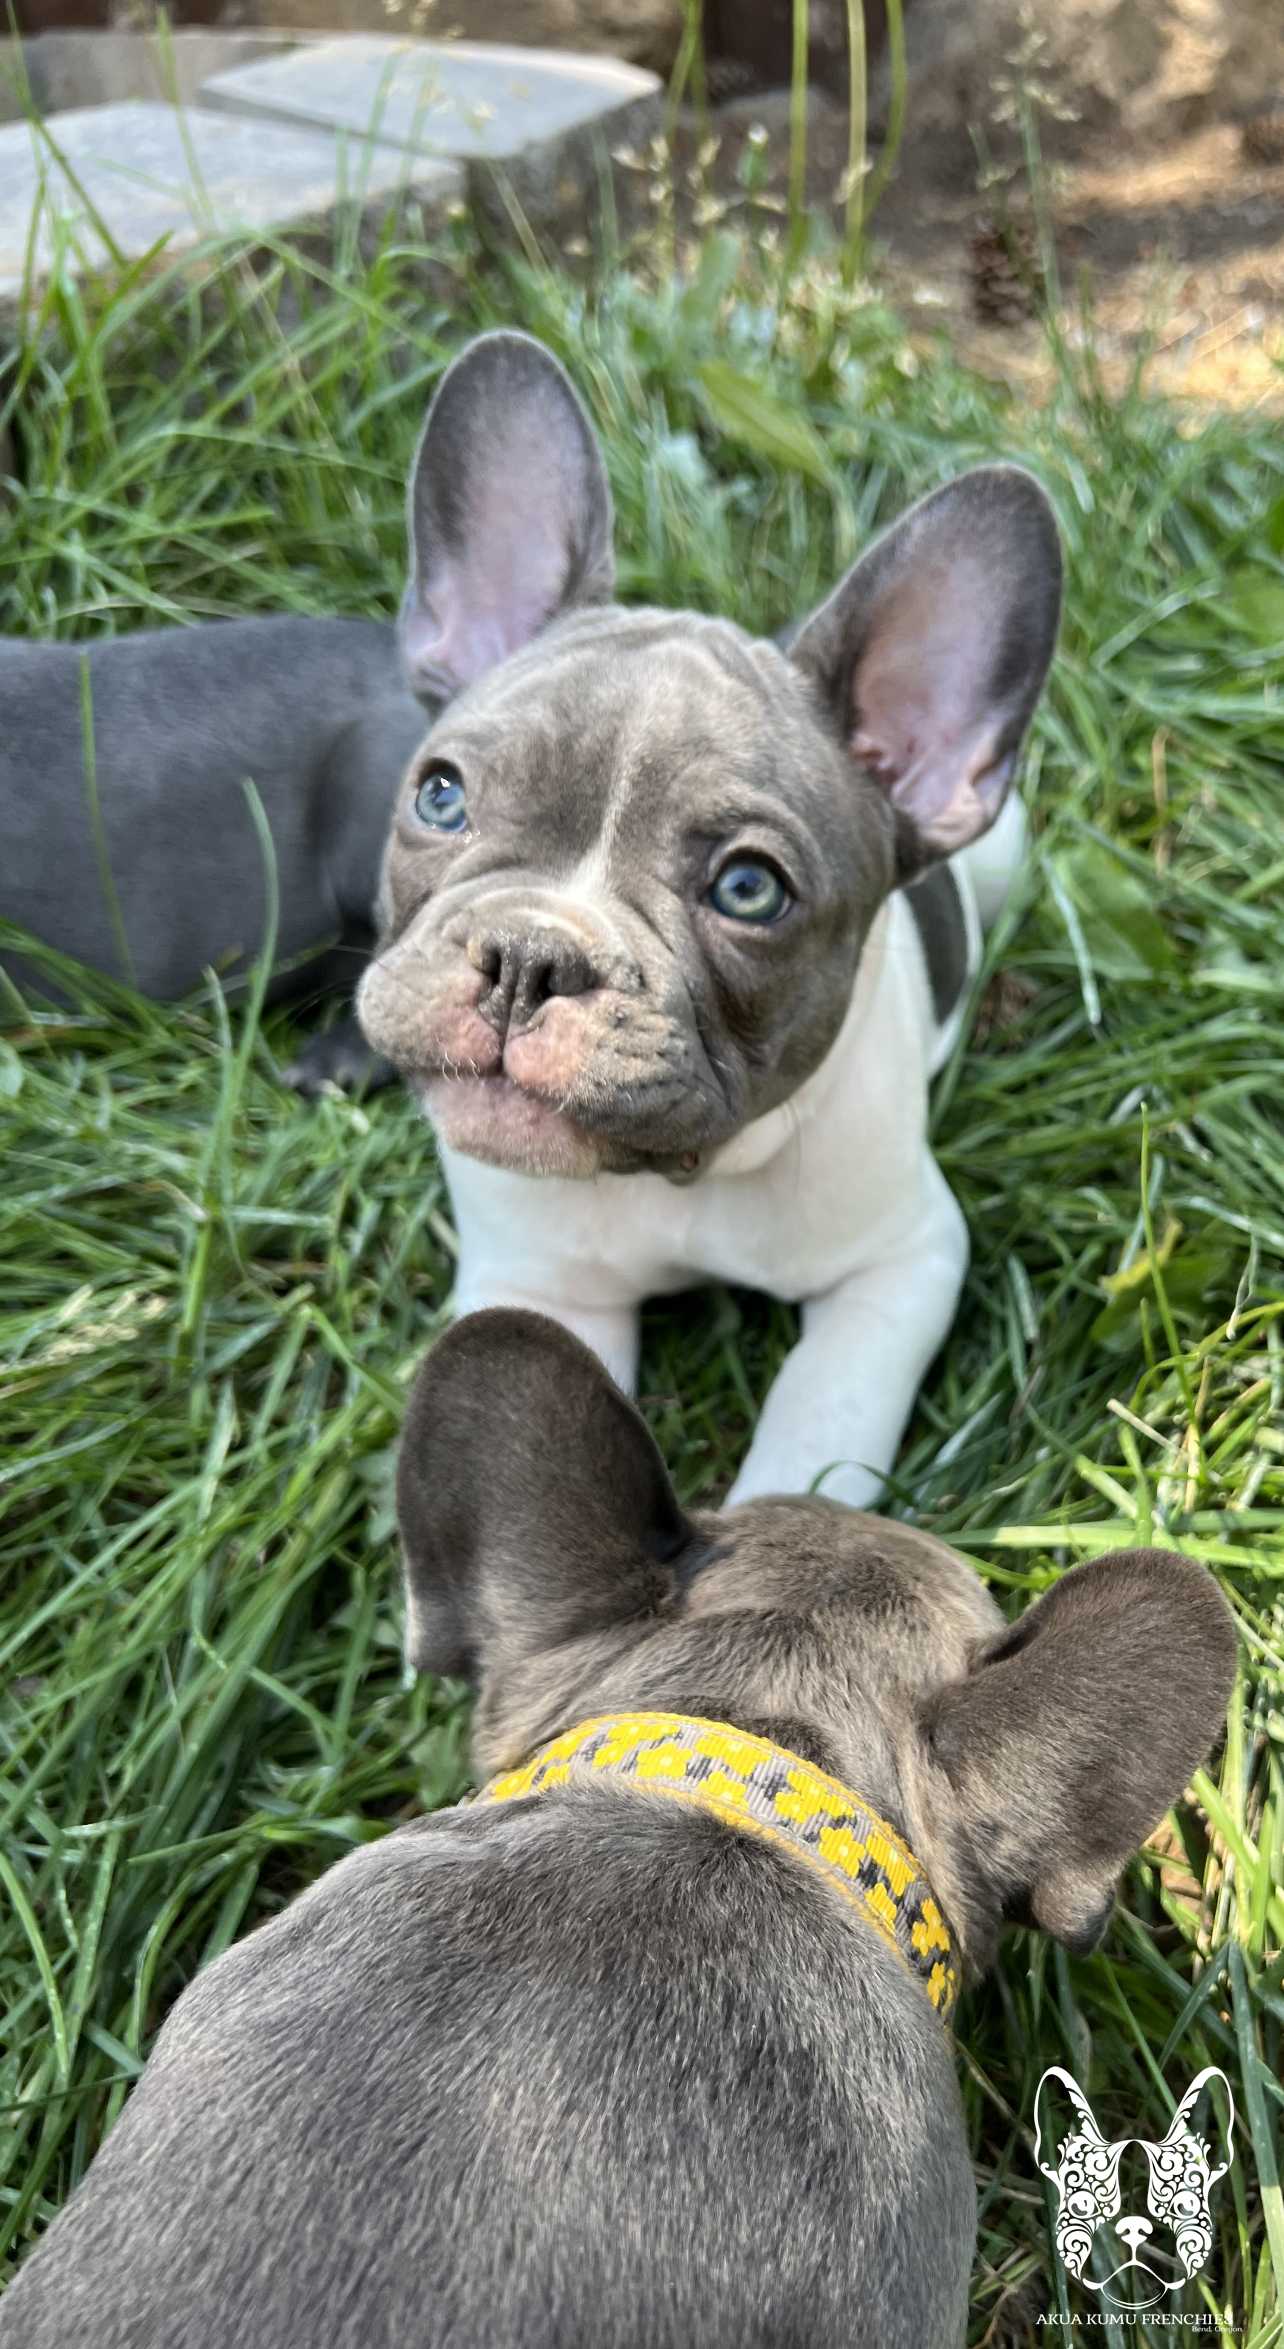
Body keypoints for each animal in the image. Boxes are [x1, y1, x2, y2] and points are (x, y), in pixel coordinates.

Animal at [359, 333, 1065, 1503]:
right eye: (441, 797)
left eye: (749, 890)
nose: (530, 956)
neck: (672, 1179)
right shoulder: (543, 1284)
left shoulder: (898, 1267)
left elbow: (812, 1432)